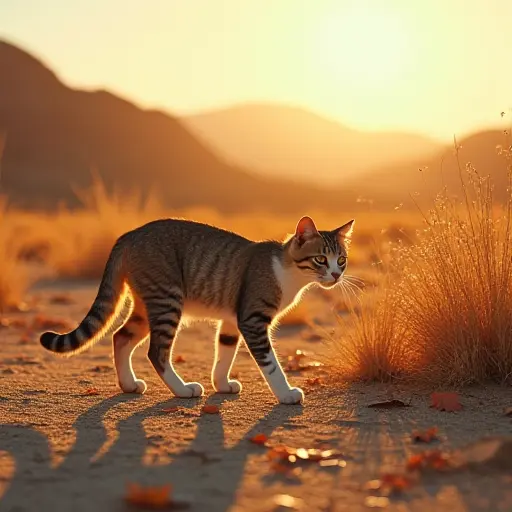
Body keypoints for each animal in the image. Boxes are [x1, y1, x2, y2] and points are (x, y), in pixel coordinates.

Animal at [40, 215, 354, 404]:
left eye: (342, 260)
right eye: (320, 259)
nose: (336, 275)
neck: (287, 272)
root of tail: (128, 235)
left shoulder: (232, 320)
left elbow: (224, 353)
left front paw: (222, 384)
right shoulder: (252, 319)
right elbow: (270, 363)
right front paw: (286, 393)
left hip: (146, 304)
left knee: (121, 336)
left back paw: (129, 384)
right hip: (167, 299)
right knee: (156, 352)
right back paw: (182, 389)